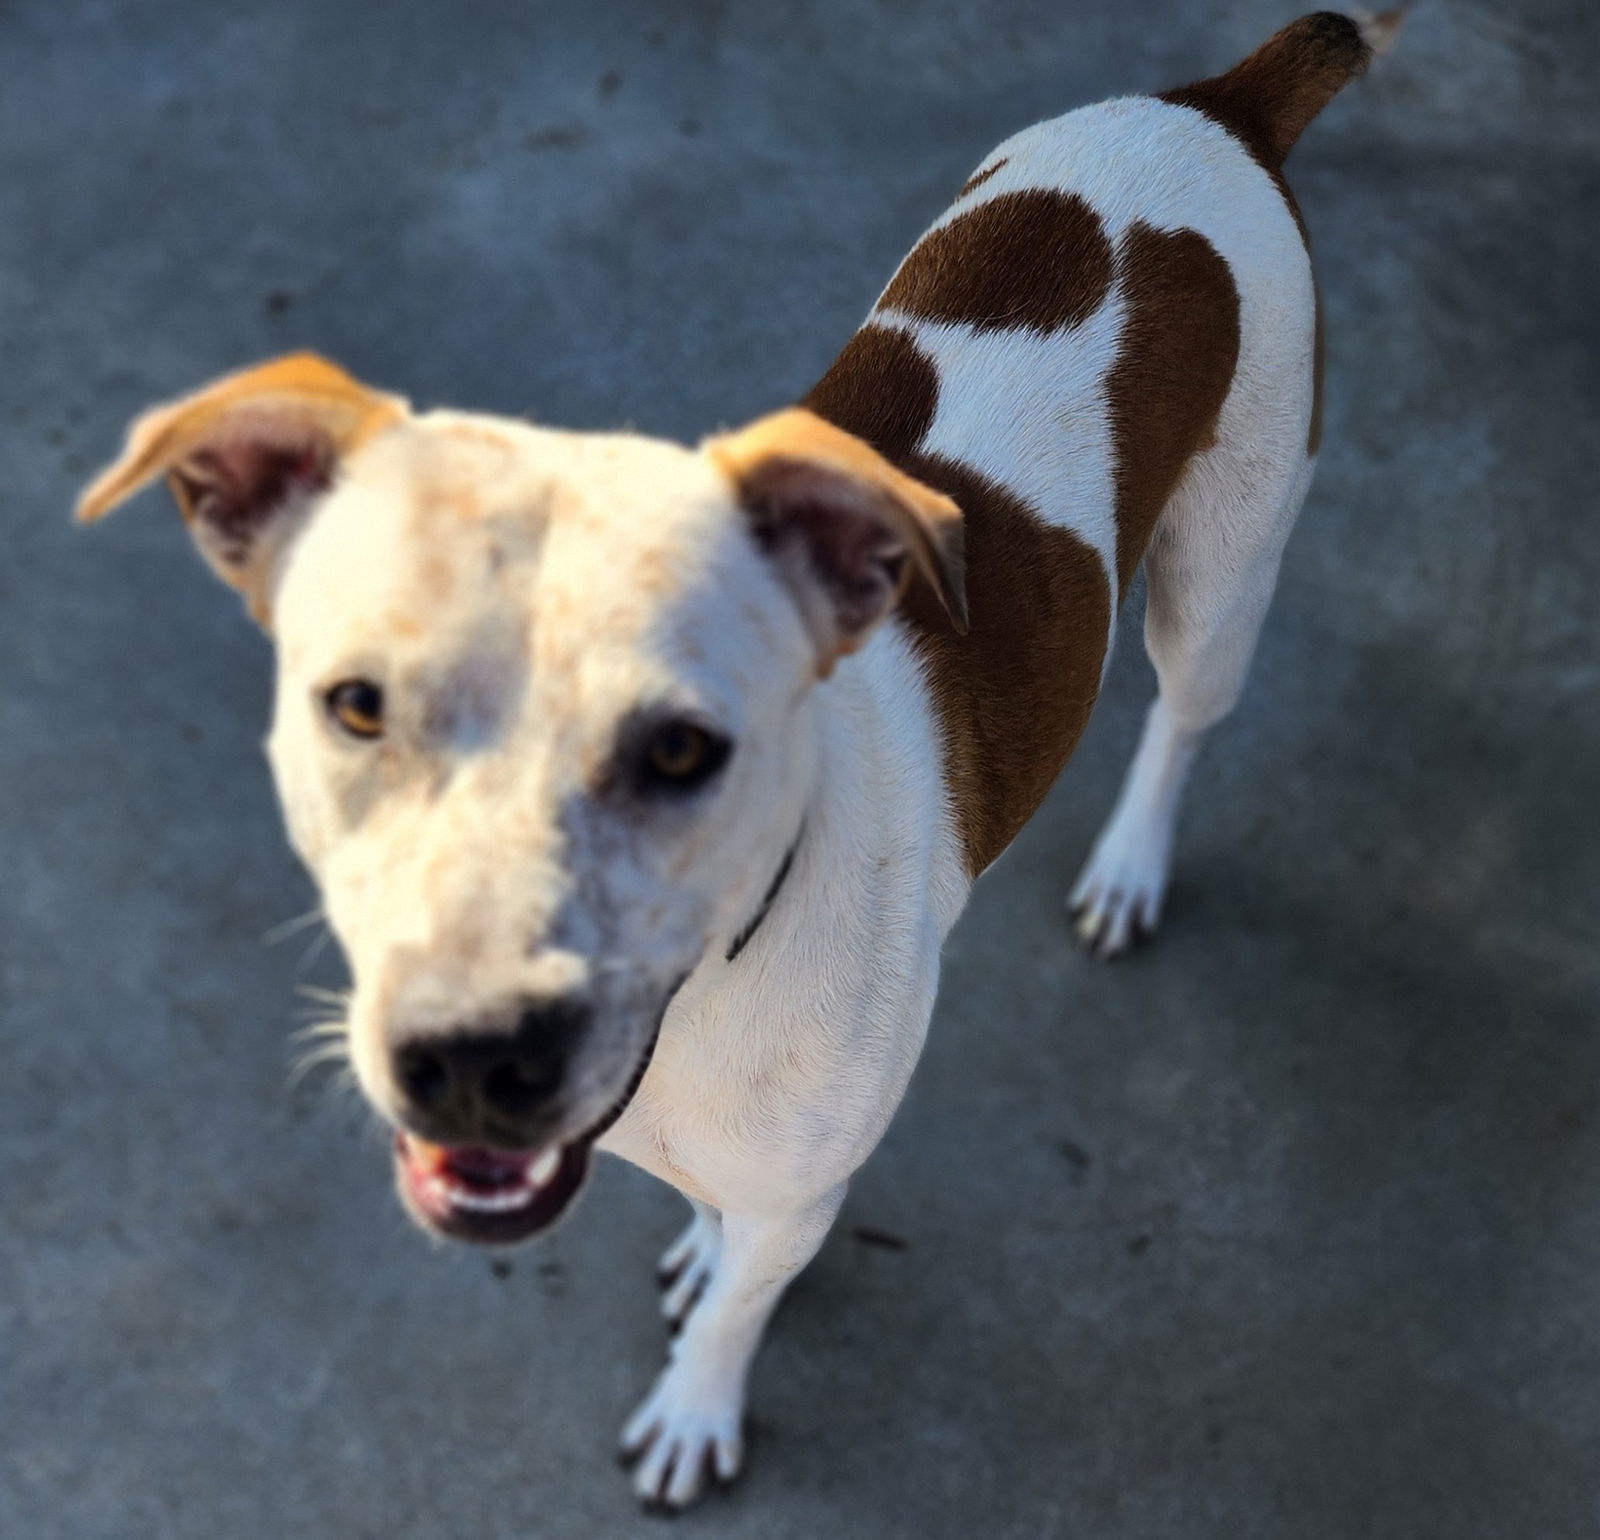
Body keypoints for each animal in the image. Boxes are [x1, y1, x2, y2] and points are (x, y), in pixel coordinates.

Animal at [81, 9, 1395, 1498]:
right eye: (359, 705)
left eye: (682, 747)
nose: (471, 1057)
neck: (709, 993)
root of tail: (1214, 104)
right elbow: (715, 1229)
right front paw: (695, 1250)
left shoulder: (801, 1198)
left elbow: (736, 1309)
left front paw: (695, 1406)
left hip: (1218, 585)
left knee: (1182, 720)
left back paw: (1130, 867)